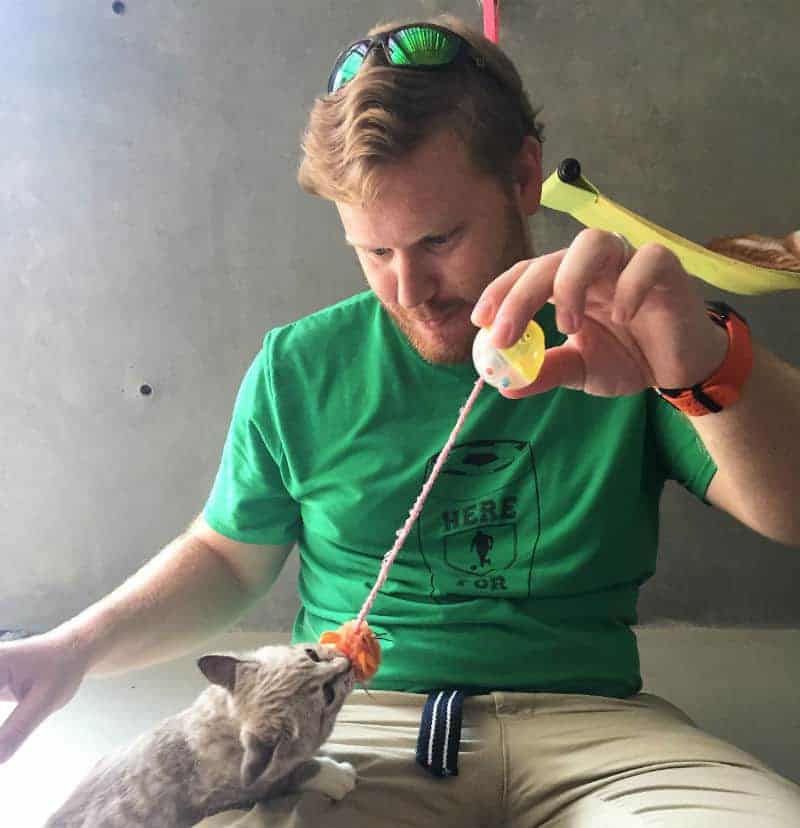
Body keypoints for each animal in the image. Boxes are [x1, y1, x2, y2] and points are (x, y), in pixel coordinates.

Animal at [44, 640, 356, 828]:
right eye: (328, 694)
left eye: (311, 653)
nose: (348, 662)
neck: (229, 724)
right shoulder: (237, 794)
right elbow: (289, 775)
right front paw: (334, 773)